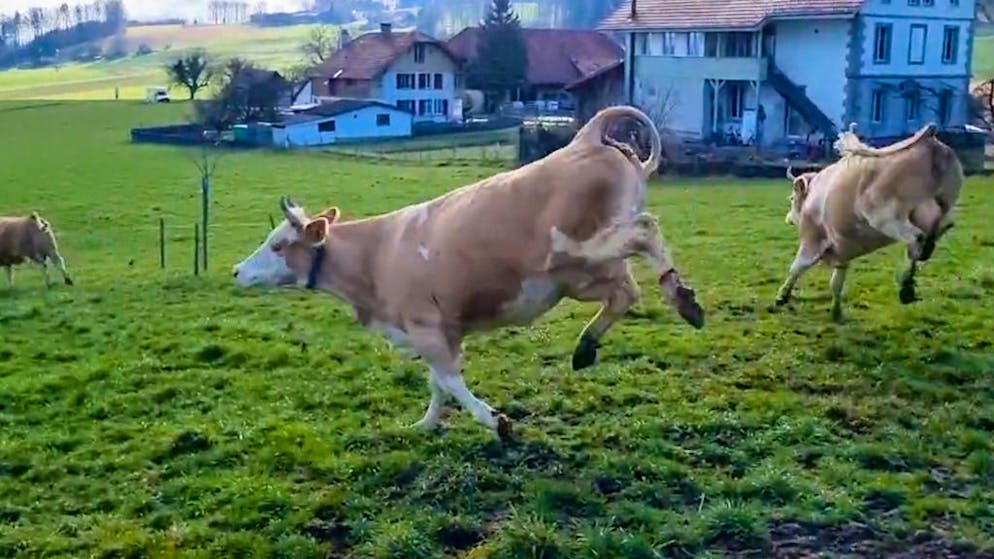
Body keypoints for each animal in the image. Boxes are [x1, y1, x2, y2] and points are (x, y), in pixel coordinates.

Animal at [233, 105, 705, 440]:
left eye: (278, 245)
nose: (237, 271)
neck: (377, 254)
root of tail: (582, 139)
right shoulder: (444, 329)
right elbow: (437, 384)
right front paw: (425, 425)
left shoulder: (425, 327)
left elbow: (447, 379)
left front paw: (496, 422)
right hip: (582, 274)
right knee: (625, 292)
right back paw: (588, 345)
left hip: (581, 249)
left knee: (646, 231)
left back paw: (683, 299)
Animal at [774, 122, 962, 322]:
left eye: (792, 198)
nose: (788, 219)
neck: (814, 194)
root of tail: (929, 137)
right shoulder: (842, 252)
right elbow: (836, 283)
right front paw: (836, 312)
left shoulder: (811, 242)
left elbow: (796, 267)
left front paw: (782, 296)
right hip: (939, 208)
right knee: (936, 232)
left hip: (886, 216)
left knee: (917, 238)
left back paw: (906, 287)